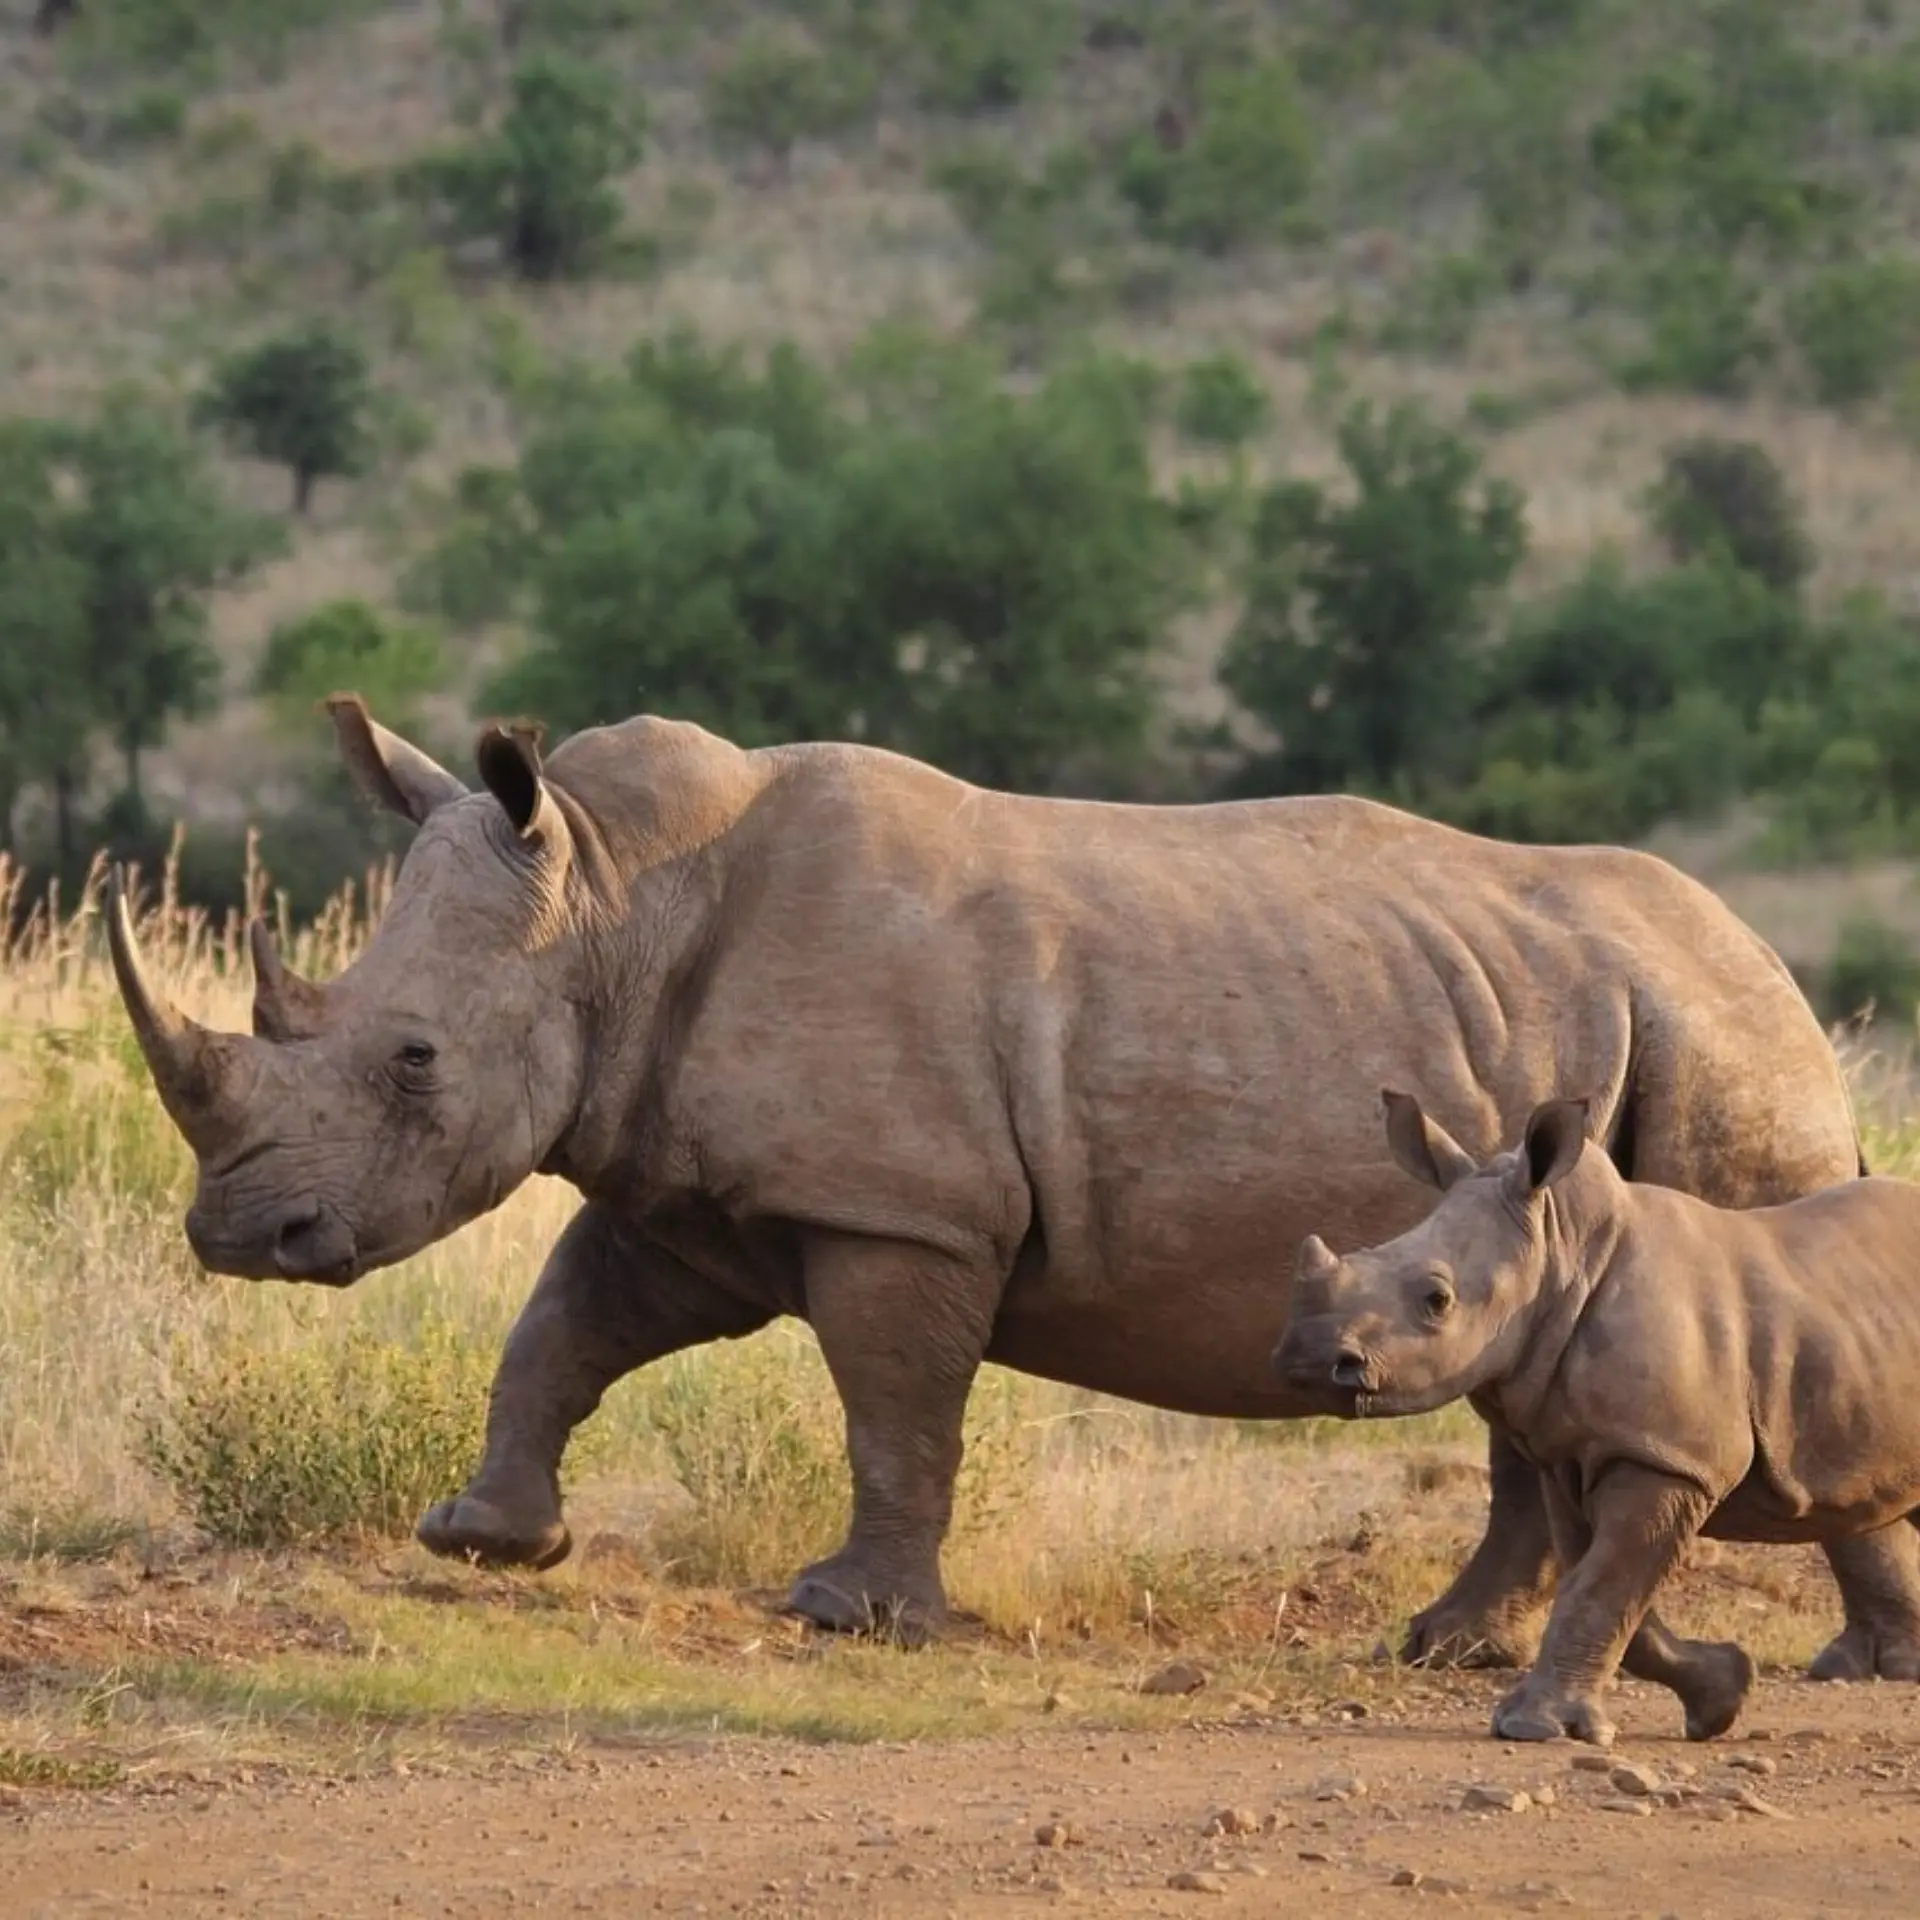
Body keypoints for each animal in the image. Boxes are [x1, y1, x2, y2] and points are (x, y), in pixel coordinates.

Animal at [103, 695, 1920, 1677]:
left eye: (413, 1060)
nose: (239, 1235)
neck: (609, 900)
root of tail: (1764, 957)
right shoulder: (693, 1185)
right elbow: (564, 1326)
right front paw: (485, 1541)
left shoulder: (899, 1207)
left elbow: (895, 1405)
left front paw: (850, 1618)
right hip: (1614, 1039)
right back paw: (1454, 1648)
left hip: (1720, 1047)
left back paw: (1826, 1665)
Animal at [1275, 1090, 1920, 1744]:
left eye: (1437, 1300)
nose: (1307, 1359)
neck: (1561, 1254)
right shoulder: (1575, 1453)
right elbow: (1608, 1590)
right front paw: (1722, 1693)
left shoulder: (1667, 1457)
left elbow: (1600, 1586)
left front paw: (1531, 1727)